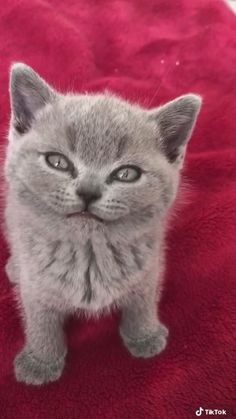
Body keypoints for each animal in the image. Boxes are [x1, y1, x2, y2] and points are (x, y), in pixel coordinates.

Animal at [3, 60, 201, 386]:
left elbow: (142, 302)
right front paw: (41, 361)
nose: (88, 191)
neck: (89, 253)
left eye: (127, 174)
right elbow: (40, 319)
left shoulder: (150, 267)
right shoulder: (36, 286)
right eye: (58, 162)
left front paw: (145, 335)